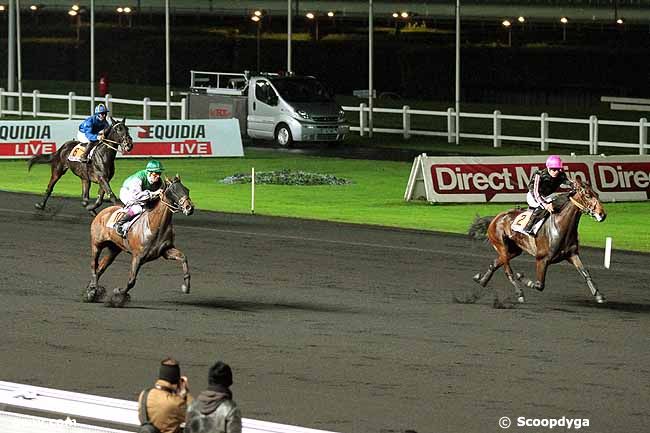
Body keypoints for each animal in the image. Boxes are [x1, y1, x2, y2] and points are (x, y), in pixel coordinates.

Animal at [82, 174, 192, 306]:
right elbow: (131, 281)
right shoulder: (138, 256)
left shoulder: (166, 251)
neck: (154, 225)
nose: (189, 208)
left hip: (114, 248)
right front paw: (118, 295)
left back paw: (92, 289)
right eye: (174, 191)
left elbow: (183, 258)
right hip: (96, 244)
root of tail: (102, 212)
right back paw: (92, 291)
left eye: (187, 190)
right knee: (94, 265)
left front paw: (186, 287)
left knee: (100, 268)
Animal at [468, 177, 604, 306]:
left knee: (495, 263)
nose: (602, 214)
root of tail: (495, 218)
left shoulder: (572, 254)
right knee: (508, 272)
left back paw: (481, 280)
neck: (559, 226)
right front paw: (521, 277)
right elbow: (539, 285)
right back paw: (519, 293)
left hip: (513, 250)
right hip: (501, 246)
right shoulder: (541, 259)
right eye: (588, 195)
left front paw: (598, 295)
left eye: (597, 194)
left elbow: (585, 273)